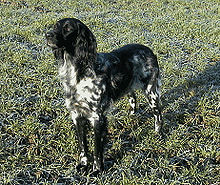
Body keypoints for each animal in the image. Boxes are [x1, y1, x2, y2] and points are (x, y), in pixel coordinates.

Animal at [45, 18, 162, 173]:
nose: (47, 35)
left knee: (158, 113)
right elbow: (83, 145)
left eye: (68, 28)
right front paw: (83, 165)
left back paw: (158, 134)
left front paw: (97, 170)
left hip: (151, 91)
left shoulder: (97, 117)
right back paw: (132, 116)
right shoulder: (76, 115)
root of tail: (148, 49)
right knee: (133, 99)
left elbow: (96, 148)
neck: (78, 73)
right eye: (55, 26)